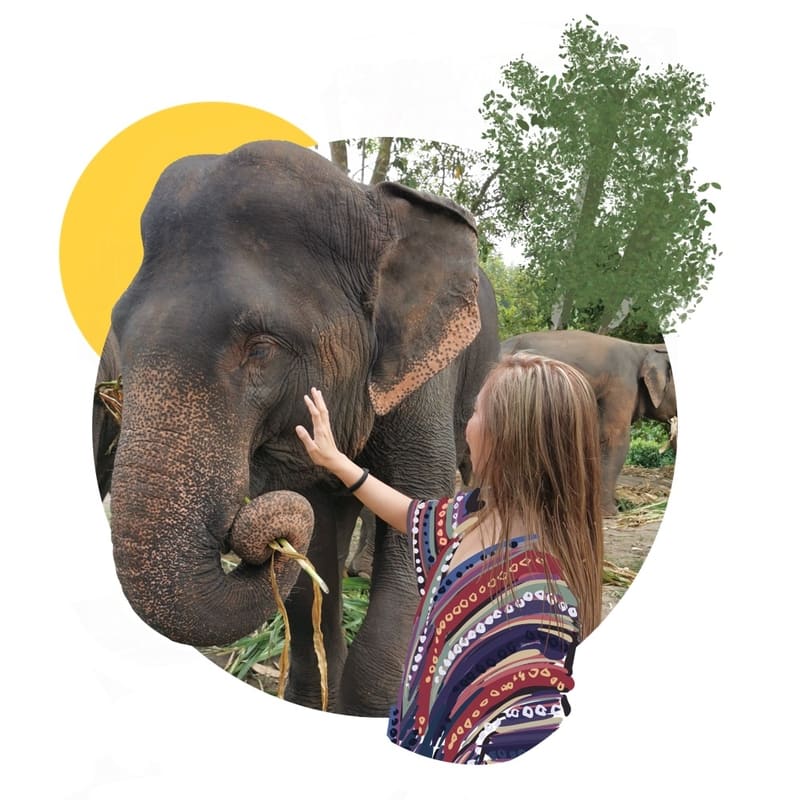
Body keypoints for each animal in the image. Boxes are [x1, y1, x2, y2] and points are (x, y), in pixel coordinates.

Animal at [92, 139, 500, 717]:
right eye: (120, 331)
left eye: (262, 348)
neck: (367, 205)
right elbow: (312, 565)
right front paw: (314, 701)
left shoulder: (425, 381)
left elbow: (416, 520)